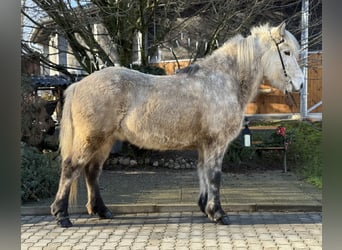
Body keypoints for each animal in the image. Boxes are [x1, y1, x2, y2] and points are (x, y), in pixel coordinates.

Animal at [51, 22, 304, 228]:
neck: (223, 81)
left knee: (92, 172)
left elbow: (203, 173)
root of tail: (79, 84)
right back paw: (62, 215)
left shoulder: (204, 145)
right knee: (71, 167)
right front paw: (219, 214)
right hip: (91, 139)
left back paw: (102, 211)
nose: (300, 84)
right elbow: (214, 176)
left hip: (105, 142)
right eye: (287, 52)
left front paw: (205, 209)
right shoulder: (216, 144)